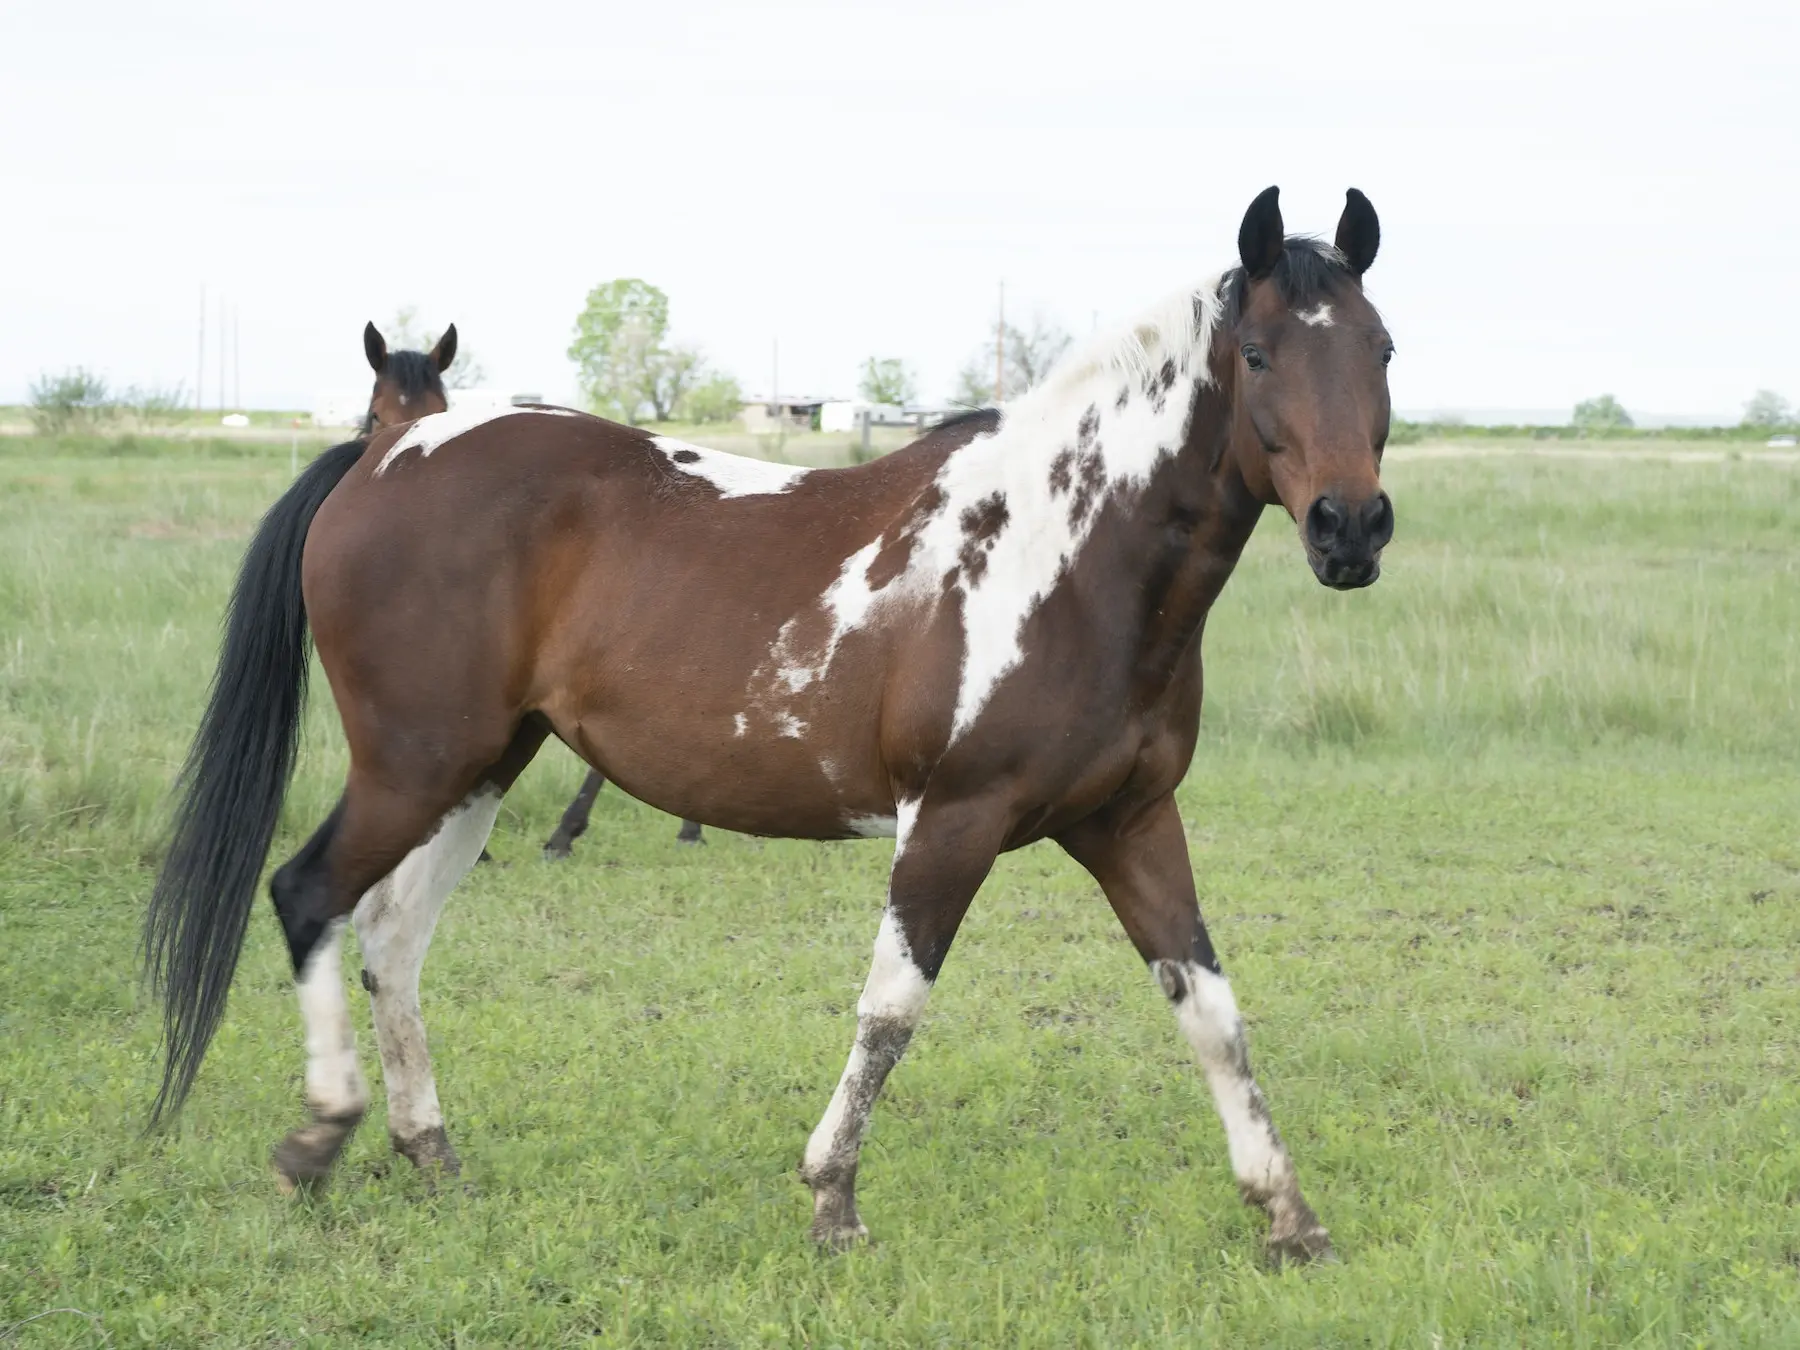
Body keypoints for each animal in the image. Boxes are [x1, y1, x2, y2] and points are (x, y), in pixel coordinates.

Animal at [147, 190, 1396, 1267]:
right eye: (1258, 356)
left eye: (1381, 350)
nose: (1351, 528)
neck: (1068, 556)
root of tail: (385, 455)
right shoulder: (952, 822)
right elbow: (892, 1012)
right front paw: (833, 1200)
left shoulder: (1130, 822)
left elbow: (1213, 1012)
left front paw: (1290, 1217)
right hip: (412, 767)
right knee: (307, 895)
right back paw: (319, 1139)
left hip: (479, 769)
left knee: (393, 937)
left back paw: (429, 1153)